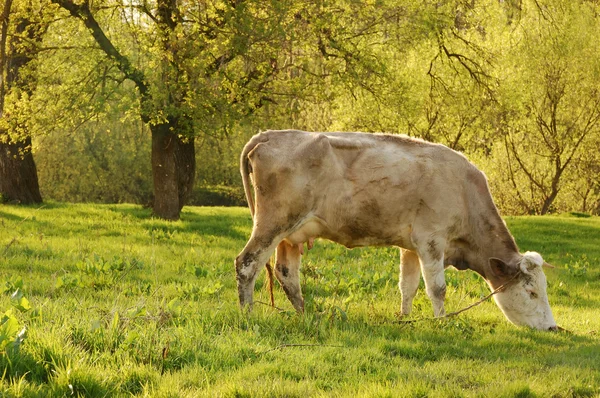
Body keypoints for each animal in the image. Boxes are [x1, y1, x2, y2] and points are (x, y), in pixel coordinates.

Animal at [234, 130, 556, 330]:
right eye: (531, 292)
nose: (553, 327)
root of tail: (271, 134)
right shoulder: (431, 240)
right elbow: (437, 288)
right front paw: (442, 322)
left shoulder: (410, 246)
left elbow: (408, 285)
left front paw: (404, 318)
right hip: (273, 223)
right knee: (247, 264)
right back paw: (248, 315)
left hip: (291, 234)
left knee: (287, 274)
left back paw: (304, 314)